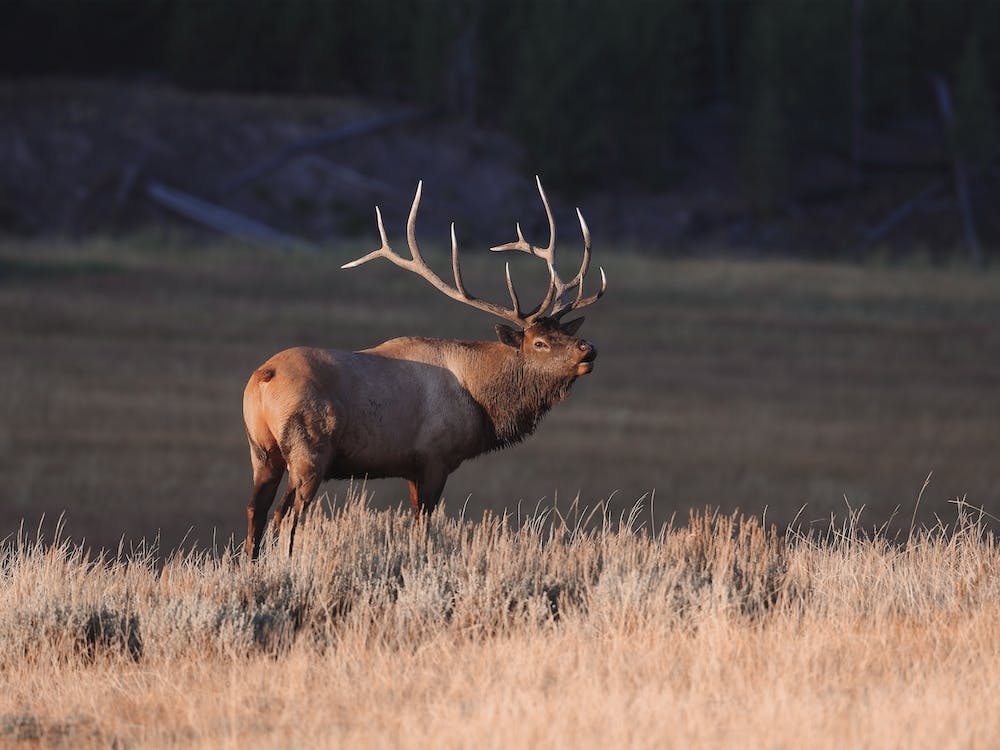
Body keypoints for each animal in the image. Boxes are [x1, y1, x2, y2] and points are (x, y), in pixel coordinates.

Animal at [242, 177, 606, 558]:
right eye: (539, 343)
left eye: (566, 332)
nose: (588, 349)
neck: (481, 400)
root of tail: (263, 377)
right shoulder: (434, 458)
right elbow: (422, 525)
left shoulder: (411, 468)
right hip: (309, 452)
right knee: (287, 514)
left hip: (262, 450)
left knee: (256, 509)